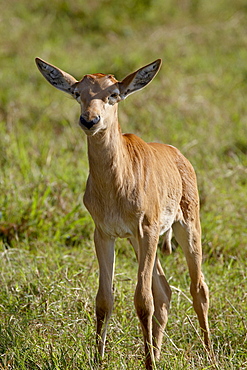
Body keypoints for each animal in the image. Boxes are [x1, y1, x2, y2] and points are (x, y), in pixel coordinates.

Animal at [36, 56, 210, 368]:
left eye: (113, 94)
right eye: (78, 93)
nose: (89, 120)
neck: (116, 181)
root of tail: (178, 155)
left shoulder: (147, 231)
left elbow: (143, 300)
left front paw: (148, 364)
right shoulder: (105, 235)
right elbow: (104, 300)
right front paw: (99, 360)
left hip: (186, 227)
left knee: (198, 288)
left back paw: (211, 355)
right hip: (137, 242)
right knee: (164, 291)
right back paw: (159, 352)